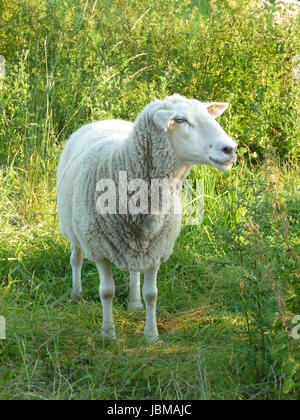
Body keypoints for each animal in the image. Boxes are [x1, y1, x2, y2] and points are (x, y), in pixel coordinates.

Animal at [57, 93, 238, 342]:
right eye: (180, 120)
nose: (230, 149)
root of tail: (104, 120)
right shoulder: (100, 249)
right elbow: (106, 292)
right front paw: (108, 333)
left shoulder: (156, 250)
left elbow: (151, 293)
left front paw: (151, 335)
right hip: (73, 229)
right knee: (76, 258)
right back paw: (76, 293)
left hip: (136, 245)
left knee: (134, 272)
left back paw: (134, 303)